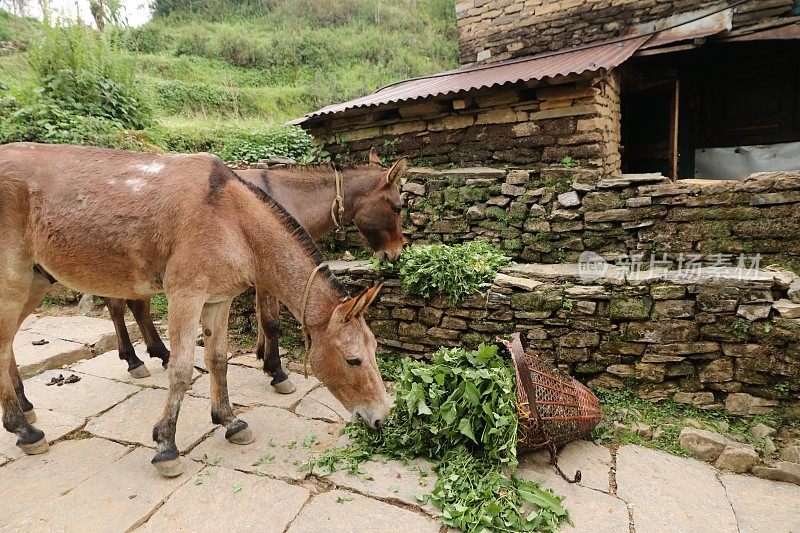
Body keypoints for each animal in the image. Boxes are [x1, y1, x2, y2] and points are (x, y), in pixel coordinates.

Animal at [105, 147, 406, 394]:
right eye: (398, 207)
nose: (395, 255)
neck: (286, 199)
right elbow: (271, 321)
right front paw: (278, 372)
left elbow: (263, 319)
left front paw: (263, 356)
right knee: (119, 307)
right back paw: (135, 359)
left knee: (133, 306)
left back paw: (157, 354)